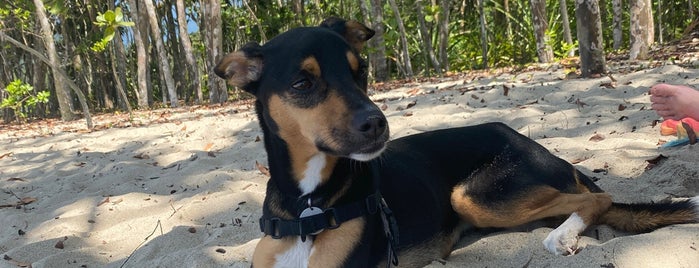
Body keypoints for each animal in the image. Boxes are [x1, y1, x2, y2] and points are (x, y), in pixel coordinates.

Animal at [215, 17, 699, 266]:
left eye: (360, 72)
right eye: (302, 83)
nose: (378, 124)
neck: (309, 206)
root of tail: (543, 150)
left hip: (476, 193)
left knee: (597, 199)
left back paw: (561, 238)